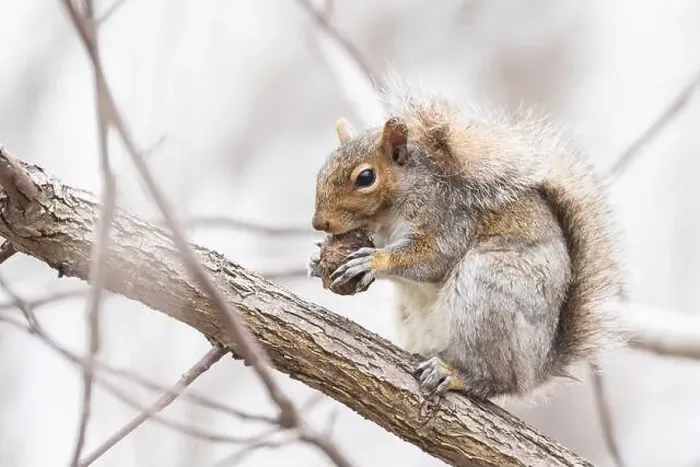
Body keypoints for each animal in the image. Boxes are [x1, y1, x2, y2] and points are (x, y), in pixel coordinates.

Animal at [308, 88, 625, 401]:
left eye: (366, 177)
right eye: (322, 170)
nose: (319, 223)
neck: (389, 214)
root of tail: (536, 370)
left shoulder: (450, 220)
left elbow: (434, 258)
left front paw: (373, 261)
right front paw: (316, 261)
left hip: (487, 294)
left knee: (494, 381)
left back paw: (457, 375)